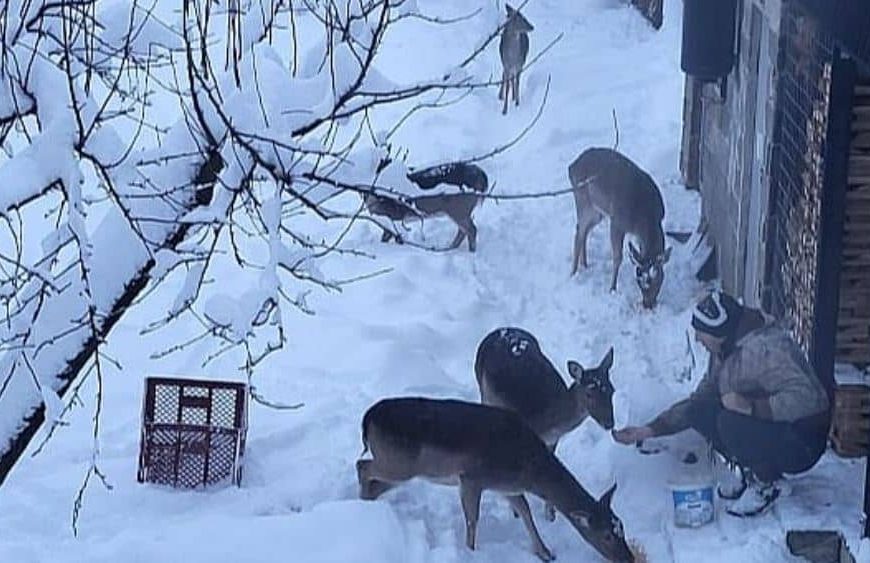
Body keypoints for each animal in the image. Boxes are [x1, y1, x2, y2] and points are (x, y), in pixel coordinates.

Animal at [358, 396, 636, 563]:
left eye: (621, 526)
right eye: (606, 535)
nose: (629, 558)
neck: (528, 468)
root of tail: (367, 418)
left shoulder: (506, 487)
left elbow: (524, 510)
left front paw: (545, 552)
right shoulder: (471, 478)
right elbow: (473, 519)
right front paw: (470, 553)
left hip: (403, 468)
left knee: (373, 481)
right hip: (398, 463)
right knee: (362, 466)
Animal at [476, 328, 620, 524]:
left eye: (612, 390)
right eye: (589, 394)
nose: (609, 423)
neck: (547, 422)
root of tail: (497, 331)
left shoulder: (553, 440)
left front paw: (550, 514)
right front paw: (516, 510)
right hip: (483, 389)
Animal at [572, 147, 676, 308]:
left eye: (658, 278)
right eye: (639, 280)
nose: (648, 304)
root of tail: (571, 166)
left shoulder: (639, 234)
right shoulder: (617, 222)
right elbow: (618, 257)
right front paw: (612, 289)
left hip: (597, 211)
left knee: (585, 231)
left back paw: (585, 264)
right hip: (582, 199)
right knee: (579, 231)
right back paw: (574, 273)